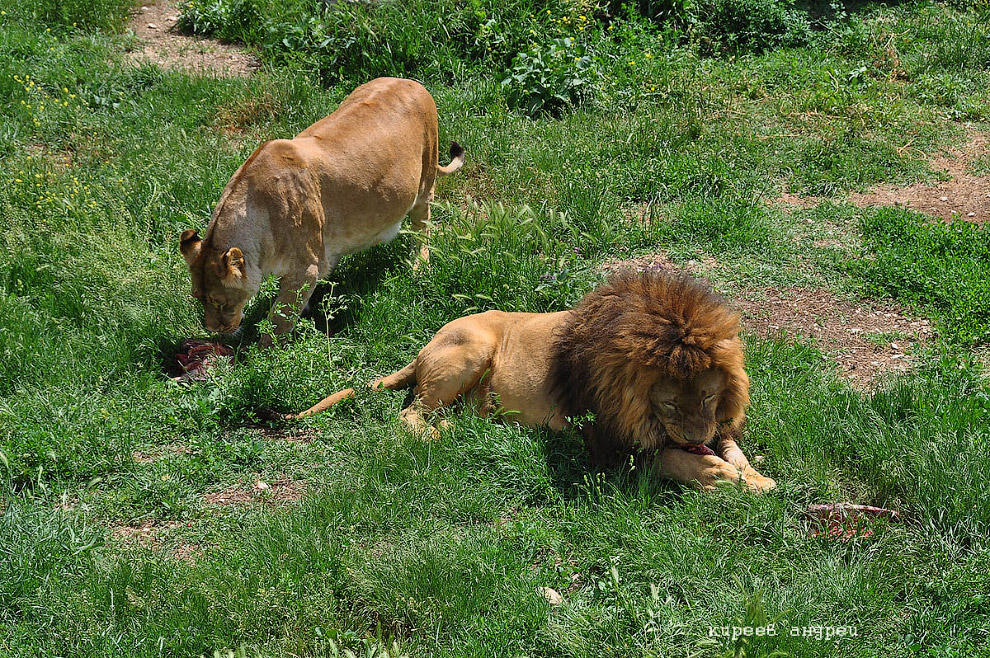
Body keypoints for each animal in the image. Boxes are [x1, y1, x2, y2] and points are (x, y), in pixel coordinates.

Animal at [179, 77, 464, 346]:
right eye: (197, 297)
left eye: (220, 302)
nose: (214, 329)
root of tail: (412, 83)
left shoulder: (305, 269)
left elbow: (279, 319)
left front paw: (260, 357)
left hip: (426, 179)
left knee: (423, 227)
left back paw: (419, 265)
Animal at [282, 270, 780, 490]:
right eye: (671, 404)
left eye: (711, 397)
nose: (697, 435)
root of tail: (426, 345)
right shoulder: (606, 446)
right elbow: (675, 461)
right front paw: (723, 477)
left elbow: (732, 449)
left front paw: (752, 474)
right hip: (471, 347)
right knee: (409, 415)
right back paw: (442, 436)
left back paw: (462, 426)